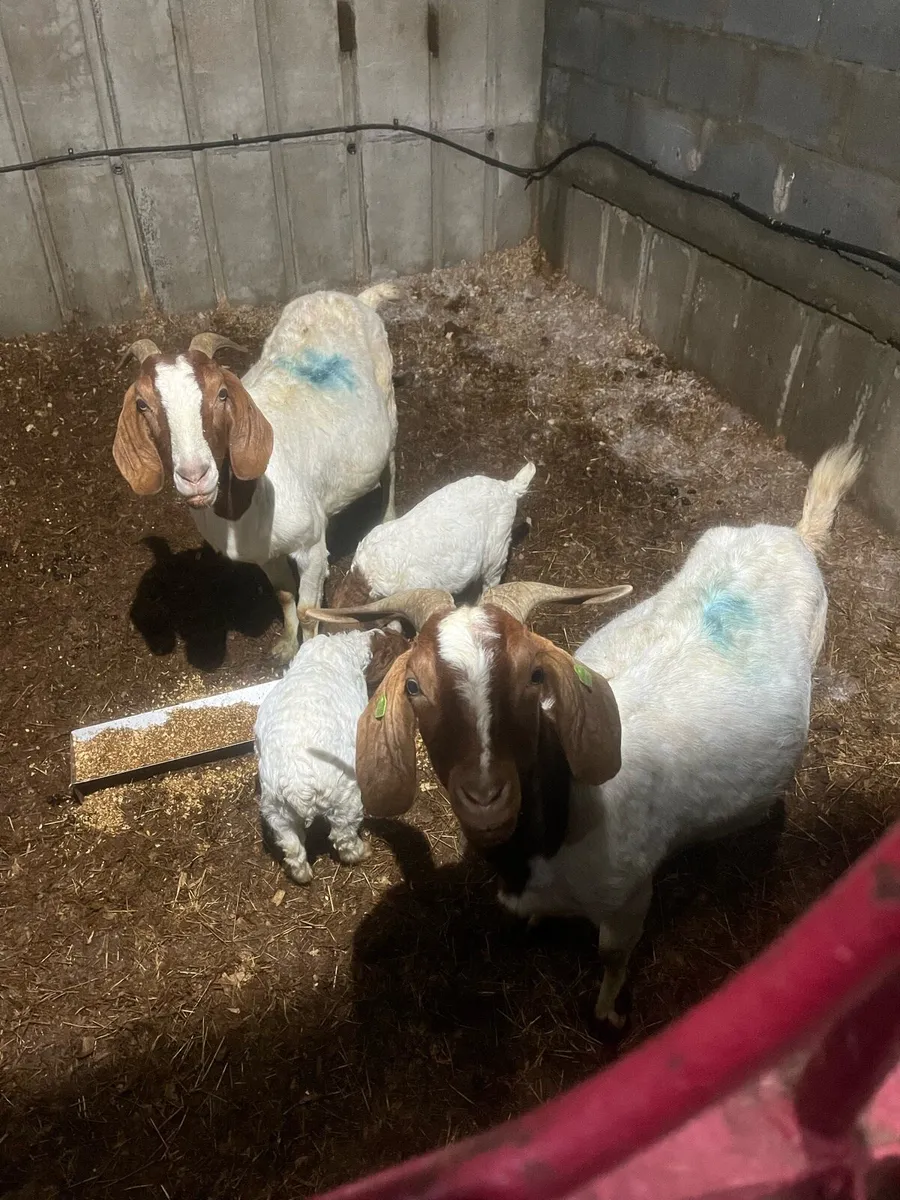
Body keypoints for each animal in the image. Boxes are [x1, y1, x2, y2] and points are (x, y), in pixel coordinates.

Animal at [112, 284, 400, 660]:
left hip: (389, 405)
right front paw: (285, 646)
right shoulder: (264, 555)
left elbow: (309, 612)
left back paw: (389, 516)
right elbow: (283, 593)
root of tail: (357, 298)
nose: (194, 476)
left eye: (222, 393)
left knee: (390, 465)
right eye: (142, 404)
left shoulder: (311, 546)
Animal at [255, 626, 408, 884]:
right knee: (342, 836)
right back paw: (362, 851)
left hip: (276, 809)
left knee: (292, 846)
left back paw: (302, 875)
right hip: (345, 799)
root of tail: (299, 785)